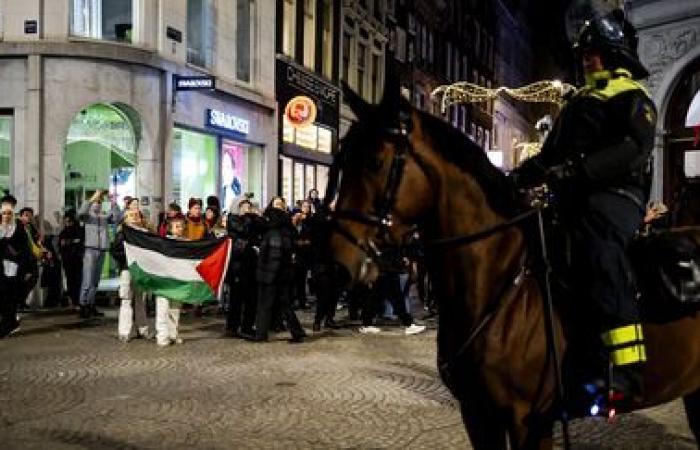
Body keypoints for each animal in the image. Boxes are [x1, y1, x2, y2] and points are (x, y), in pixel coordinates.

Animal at [330, 83, 700, 446]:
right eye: (342, 158)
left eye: (375, 162)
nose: (335, 265)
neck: (502, 286)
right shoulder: (477, 415)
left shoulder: (529, 422)